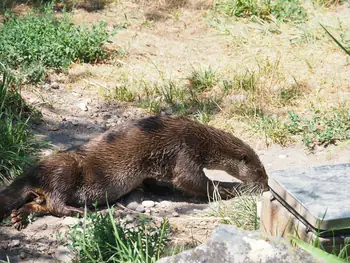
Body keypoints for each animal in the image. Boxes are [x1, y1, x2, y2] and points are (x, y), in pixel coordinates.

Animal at [0, 115, 268, 229]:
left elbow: (156, 182)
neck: (199, 140)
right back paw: (78, 211)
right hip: (64, 168)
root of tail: (33, 171)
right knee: (55, 202)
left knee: (39, 203)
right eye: (260, 171)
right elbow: (193, 181)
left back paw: (18, 216)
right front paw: (231, 189)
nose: (266, 184)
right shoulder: (185, 151)